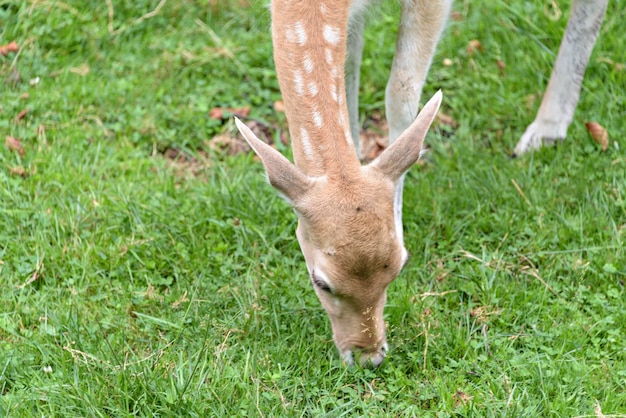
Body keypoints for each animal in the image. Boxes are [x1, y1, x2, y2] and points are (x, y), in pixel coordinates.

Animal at [234, 0, 604, 366]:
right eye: (320, 282)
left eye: (399, 265)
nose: (369, 357)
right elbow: (349, 69)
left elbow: (401, 89)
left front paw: (397, 216)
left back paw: (545, 130)